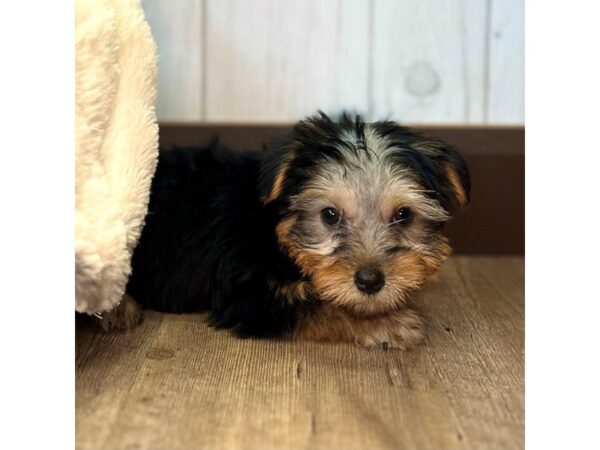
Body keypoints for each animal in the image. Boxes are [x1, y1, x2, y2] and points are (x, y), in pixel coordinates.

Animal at [112, 111, 468, 348]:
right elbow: (319, 307)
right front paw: (388, 322)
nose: (370, 281)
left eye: (403, 215)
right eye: (330, 215)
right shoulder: (248, 295)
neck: (275, 231)